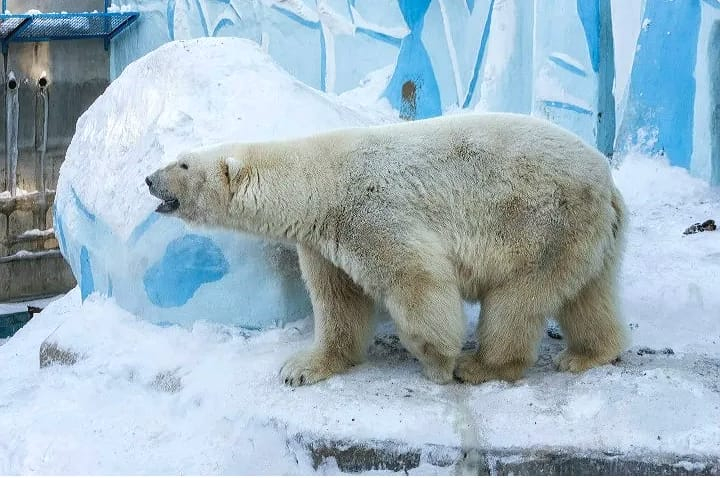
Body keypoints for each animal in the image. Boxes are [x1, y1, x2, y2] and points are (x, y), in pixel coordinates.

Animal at [148, 114, 632, 386]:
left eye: (183, 164)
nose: (149, 179)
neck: (320, 185)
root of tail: (606, 181)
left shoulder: (371, 211)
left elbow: (417, 278)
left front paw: (437, 360)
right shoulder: (322, 241)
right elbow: (339, 302)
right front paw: (301, 368)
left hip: (542, 221)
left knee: (517, 299)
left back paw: (481, 366)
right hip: (585, 236)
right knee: (587, 293)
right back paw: (589, 353)